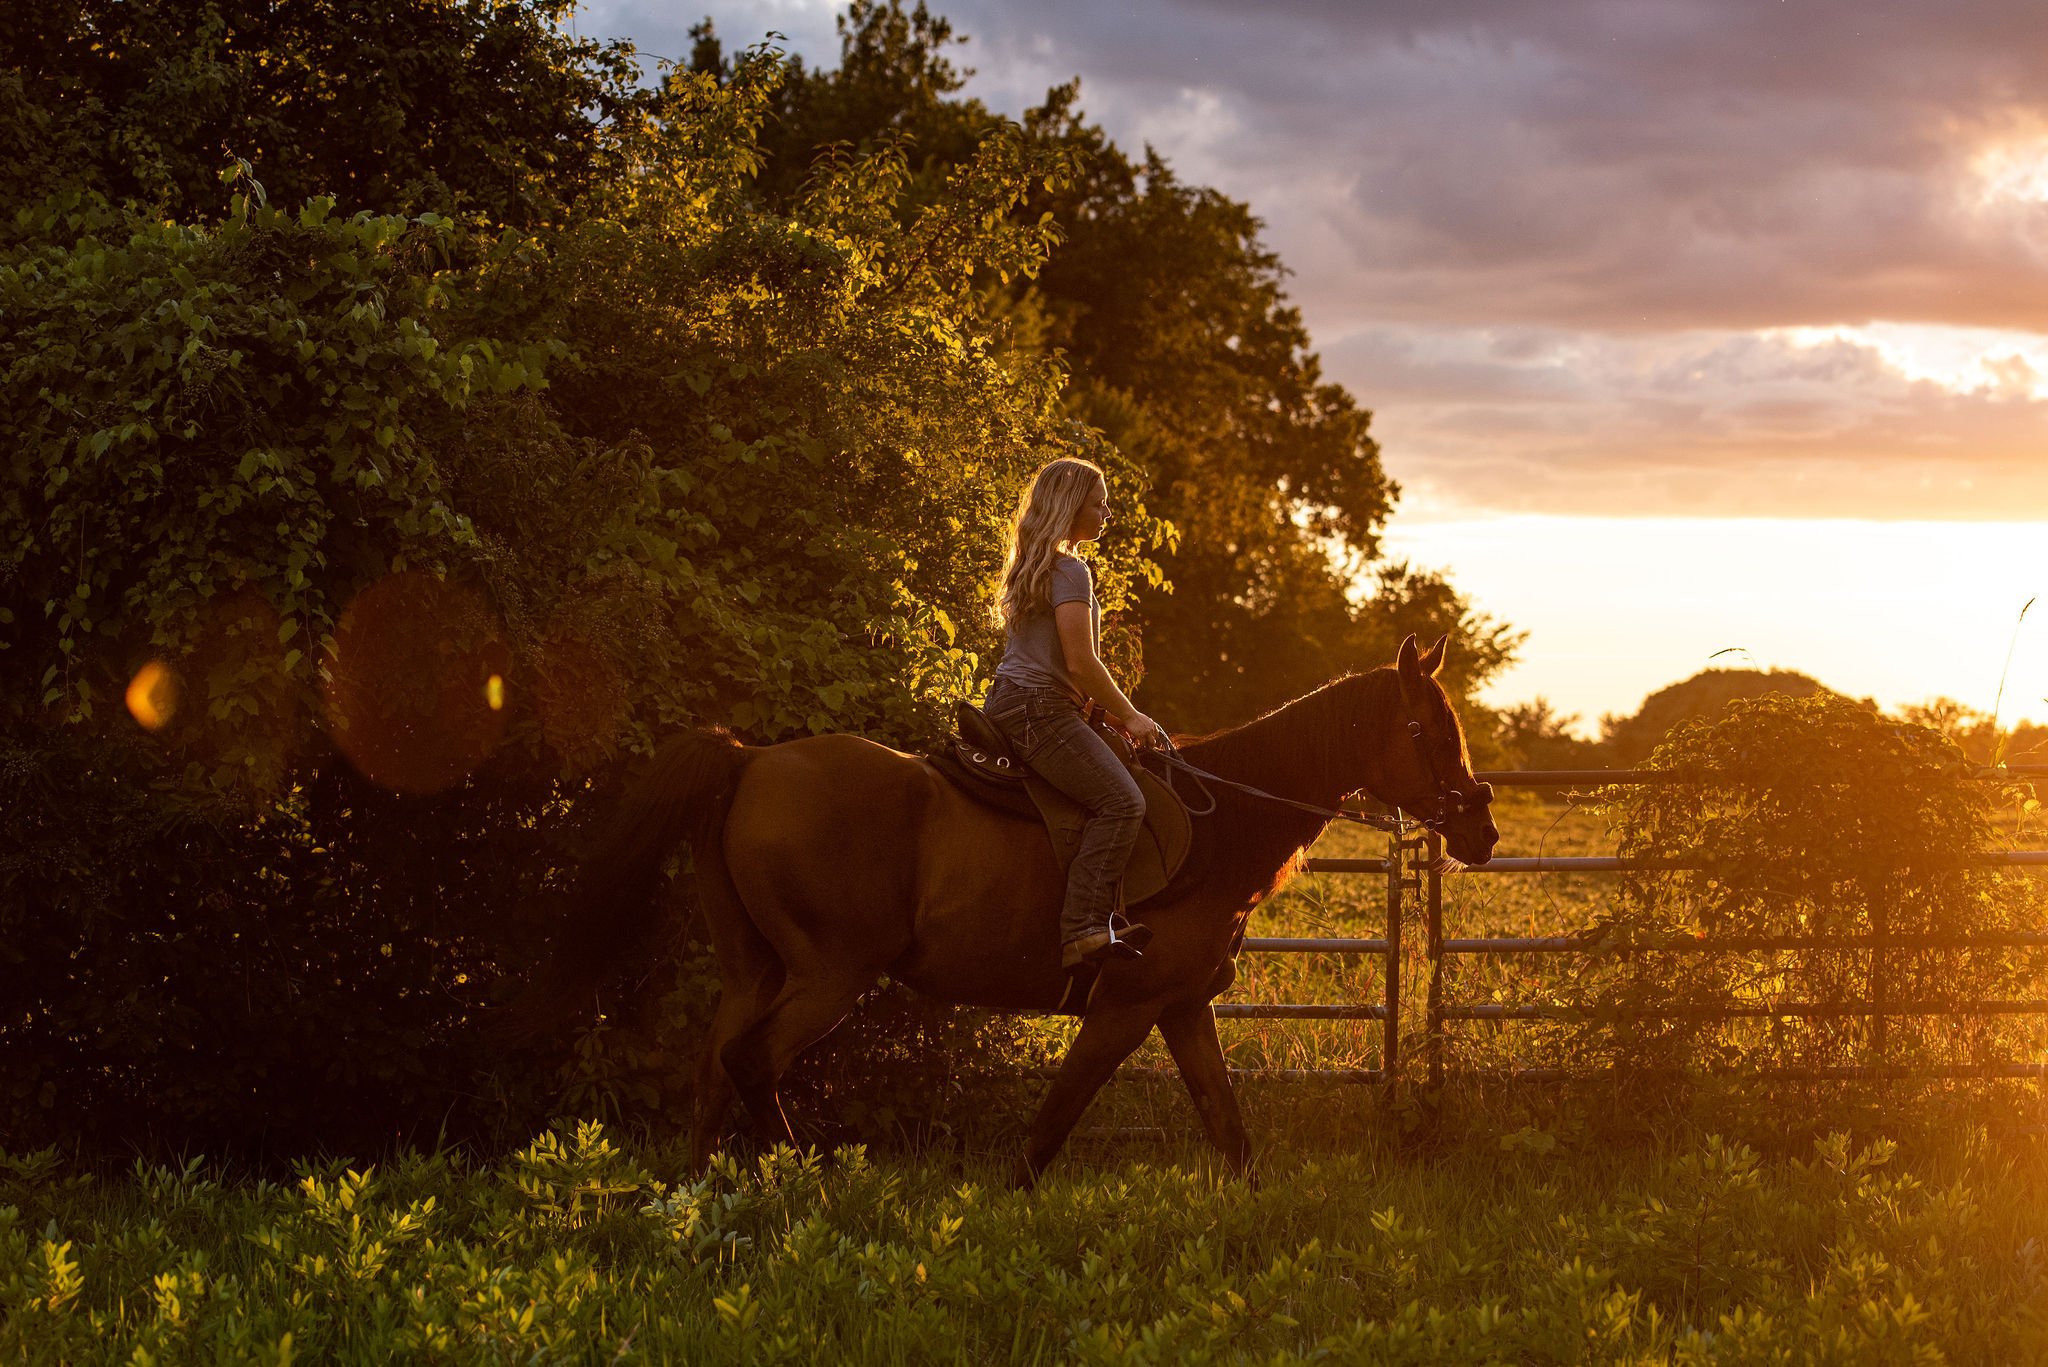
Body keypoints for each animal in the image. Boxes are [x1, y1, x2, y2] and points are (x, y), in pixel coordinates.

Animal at [532, 635, 1490, 1180]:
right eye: (1430, 729)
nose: (1479, 827)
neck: (1225, 822)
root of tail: (750, 760)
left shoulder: (1181, 1006)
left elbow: (1228, 1126)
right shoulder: (1127, 1004)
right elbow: (1054, 1121)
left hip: (753, 969)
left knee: (710, 1071)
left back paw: (696, 1199)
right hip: (829, 972)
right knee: (752, 1061)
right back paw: (805, 1177)